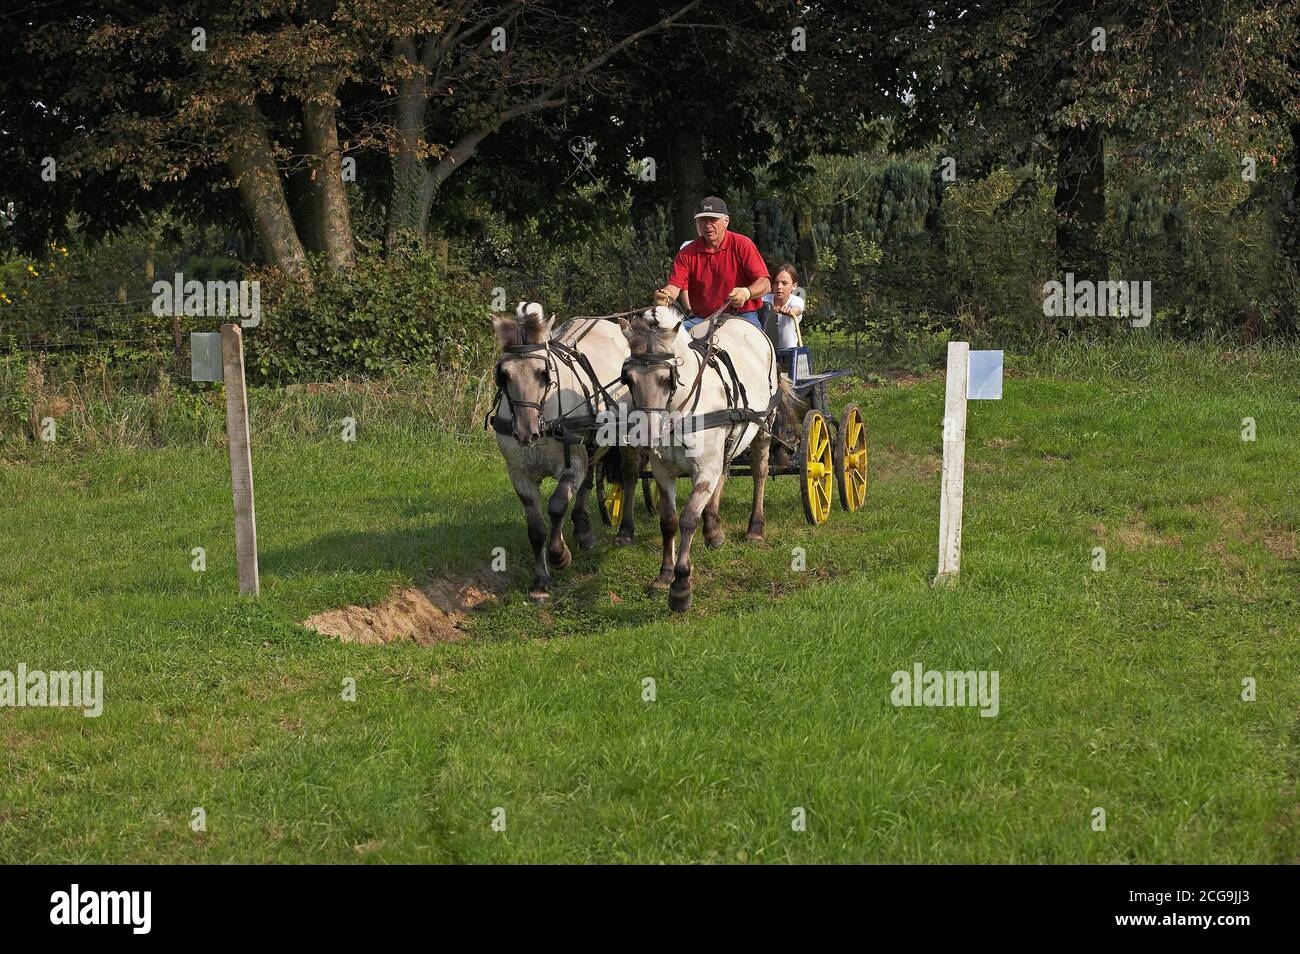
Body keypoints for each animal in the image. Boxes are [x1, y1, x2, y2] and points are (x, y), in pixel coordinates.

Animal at [488, 302, 639, 600]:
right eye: (503, 375)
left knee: (628, 478)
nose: (525, 432)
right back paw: (583, 530)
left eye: (543, 373)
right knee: (587, 482)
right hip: (593, 444)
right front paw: (540, 582)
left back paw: (625, 531)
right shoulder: (519, 475)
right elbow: (535, 528)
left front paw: (559, 556)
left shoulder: (571, 465)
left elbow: (557, 505)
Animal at [621, 310, 780, 616]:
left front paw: (681, 587)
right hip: (728, 443)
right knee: (723, 473)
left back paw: (755, 528)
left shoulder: (704, 469)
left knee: (760, 473)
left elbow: (687, 519)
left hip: (765, 425)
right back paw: (713, 530)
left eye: (667, 379)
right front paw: (664, 575)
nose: (647, 434)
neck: (679, 413)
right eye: (629, 379)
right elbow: (669, 521)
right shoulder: (663, 472)